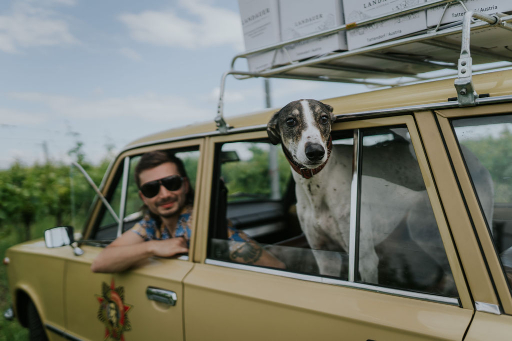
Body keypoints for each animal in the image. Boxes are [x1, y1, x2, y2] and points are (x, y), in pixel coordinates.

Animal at [268, 97, 492, 286]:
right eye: (290, 121)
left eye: (323, 118)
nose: (315, 152)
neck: (317, 185)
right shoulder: (324, 255)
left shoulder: (365, 258)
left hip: (426, 234)